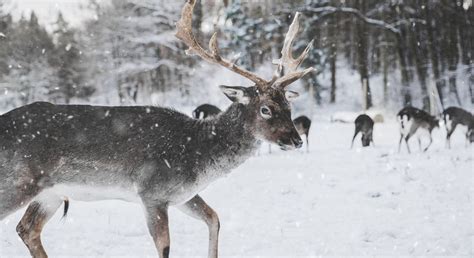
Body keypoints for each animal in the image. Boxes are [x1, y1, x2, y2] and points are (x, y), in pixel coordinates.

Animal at [0, 0, 314, 258]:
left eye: (289, 105)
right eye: (265, 109)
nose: (296, 140)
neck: (197, 154)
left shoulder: (181, 195)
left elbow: (214, 218)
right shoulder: (152, 191)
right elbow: (165, 247)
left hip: (50, 194)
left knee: (27, 229)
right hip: (18, 181)